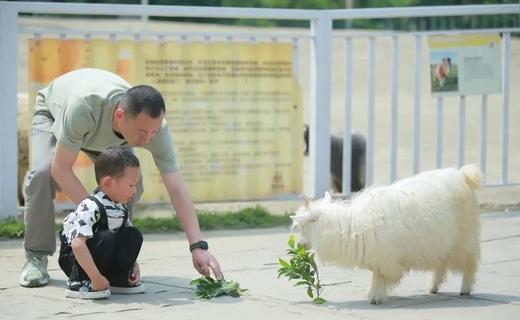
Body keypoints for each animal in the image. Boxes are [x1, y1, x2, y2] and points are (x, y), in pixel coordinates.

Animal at [294, 165, 482, 304]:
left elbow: (379, 277)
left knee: (470, 263)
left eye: (303, 226)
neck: (350, 225)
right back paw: (432, 287)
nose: (300, 246)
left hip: (465, 239)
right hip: (442, 242)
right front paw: (373, 294)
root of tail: (462, 175)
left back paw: (465, 288)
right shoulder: (380, 259)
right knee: (441, 265)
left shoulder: (384, 259)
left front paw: (375, 297)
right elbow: (377, 277)